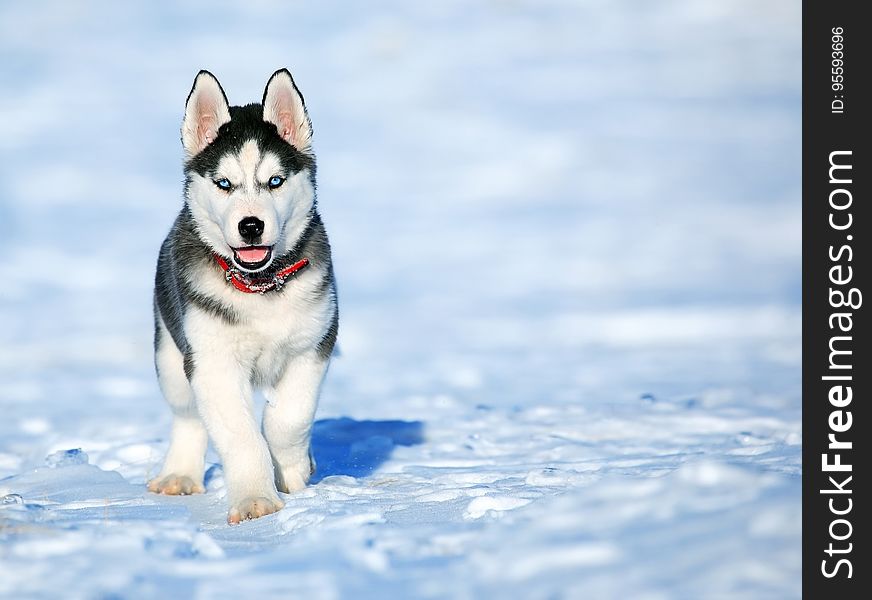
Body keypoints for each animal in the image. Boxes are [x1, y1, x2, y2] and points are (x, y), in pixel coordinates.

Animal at [146, 68, 338, 524]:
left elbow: (289, 419)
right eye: (224, 184)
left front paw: (293, 469)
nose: (251, 225)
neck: (260, 286)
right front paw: (256, 500)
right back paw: (179, 474)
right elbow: (240, 434)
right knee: (188, 415)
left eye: (275, 181)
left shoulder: (313, 345)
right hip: (170, 355)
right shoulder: (212, 362)